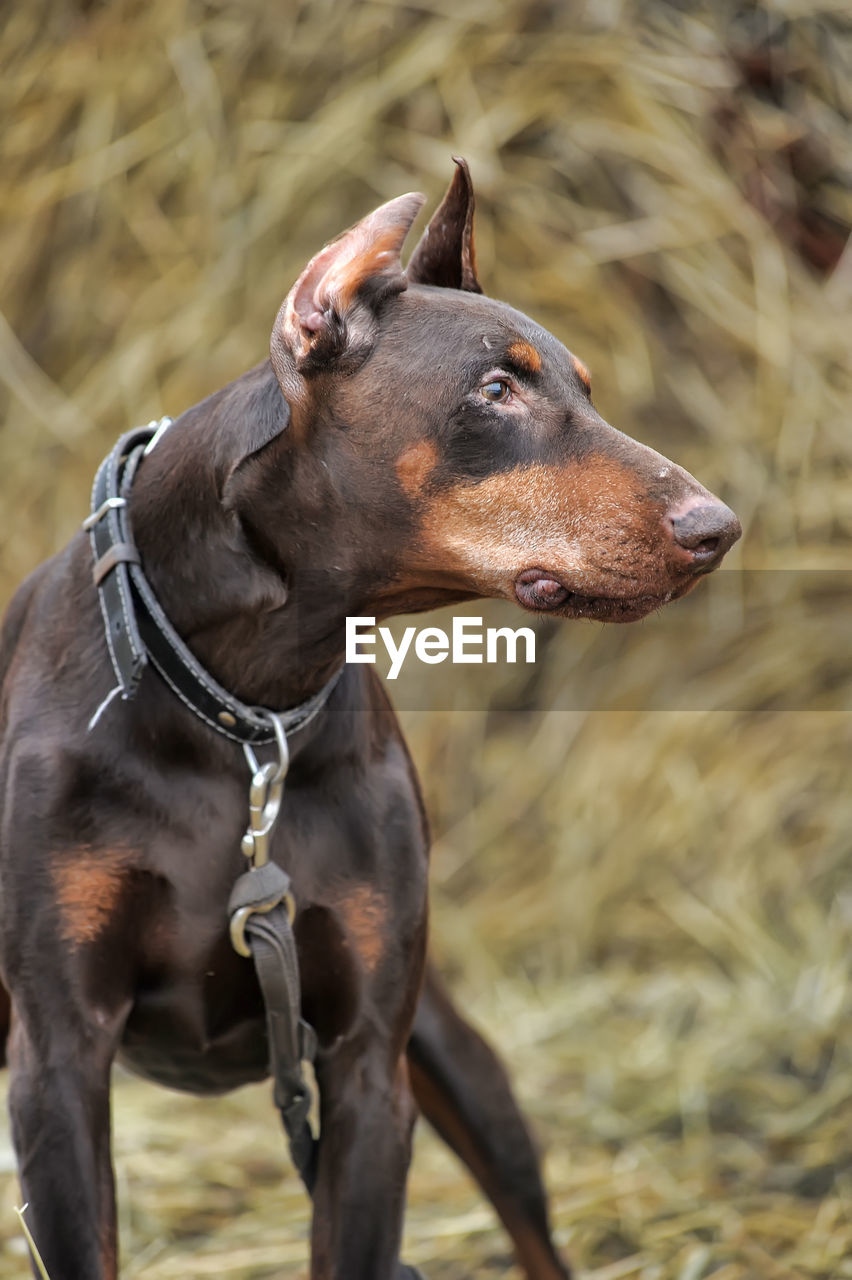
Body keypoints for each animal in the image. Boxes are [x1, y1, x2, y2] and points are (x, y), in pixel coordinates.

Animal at [0, 162, 736, 1280]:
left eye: (586, 390)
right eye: (497, 389)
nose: (719, 528)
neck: (240, 704)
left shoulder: (367, 1070)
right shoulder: (58, 1056)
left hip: (456, 1057)